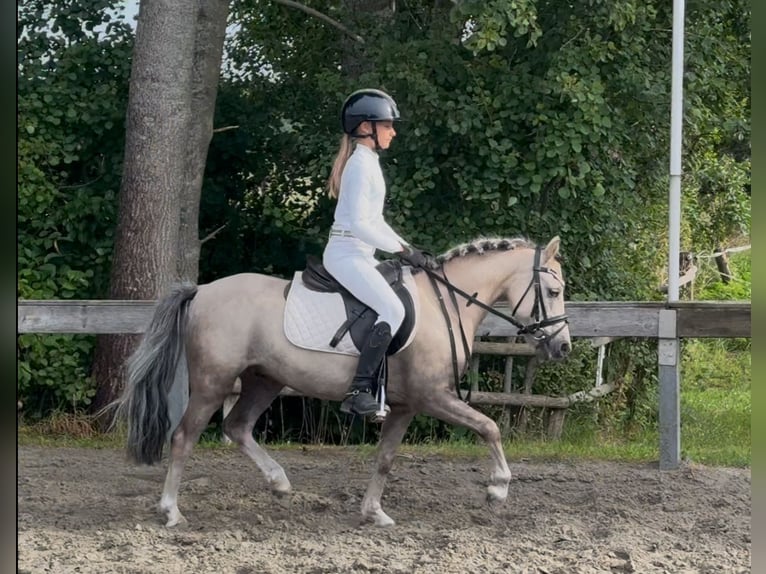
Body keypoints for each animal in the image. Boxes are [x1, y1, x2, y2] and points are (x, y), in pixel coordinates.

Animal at [114, 235, 571, 528]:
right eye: (552, 290)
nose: (562, 346)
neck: (445, 303)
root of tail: (203, 290)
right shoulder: (433, 397)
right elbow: (489, 427)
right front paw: (498, 490)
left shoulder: (405, 405)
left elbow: (385, 458)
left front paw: (374, 513)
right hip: (213, 383)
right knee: (184, 437)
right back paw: (171, 511)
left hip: (264, 380)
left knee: (237, 426)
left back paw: (279, 483)